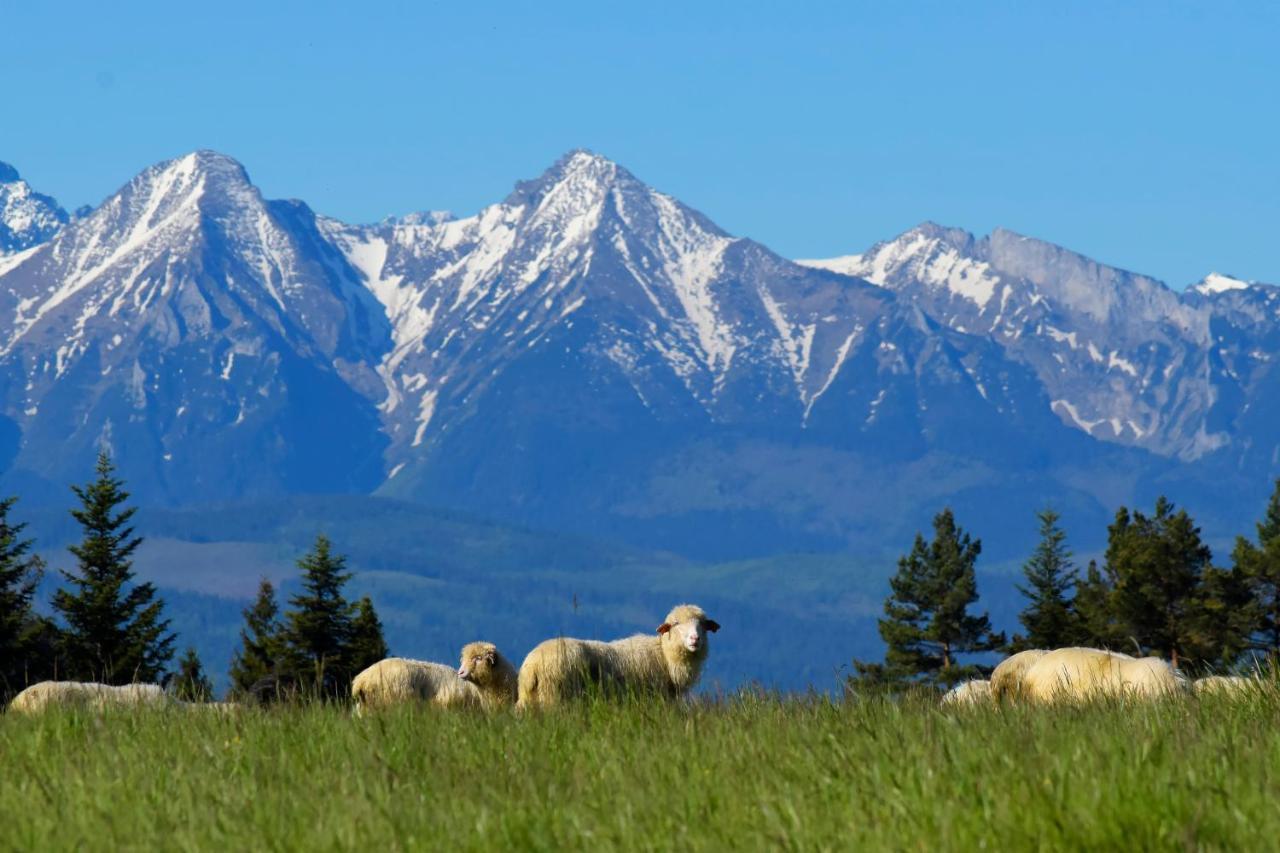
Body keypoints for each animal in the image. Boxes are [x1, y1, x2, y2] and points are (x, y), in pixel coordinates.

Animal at [517, 596, 721, 701]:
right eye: (676, 624)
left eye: (703, 625)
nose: (695, 639)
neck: (664, 656)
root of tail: (531, 666)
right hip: (555, 697)